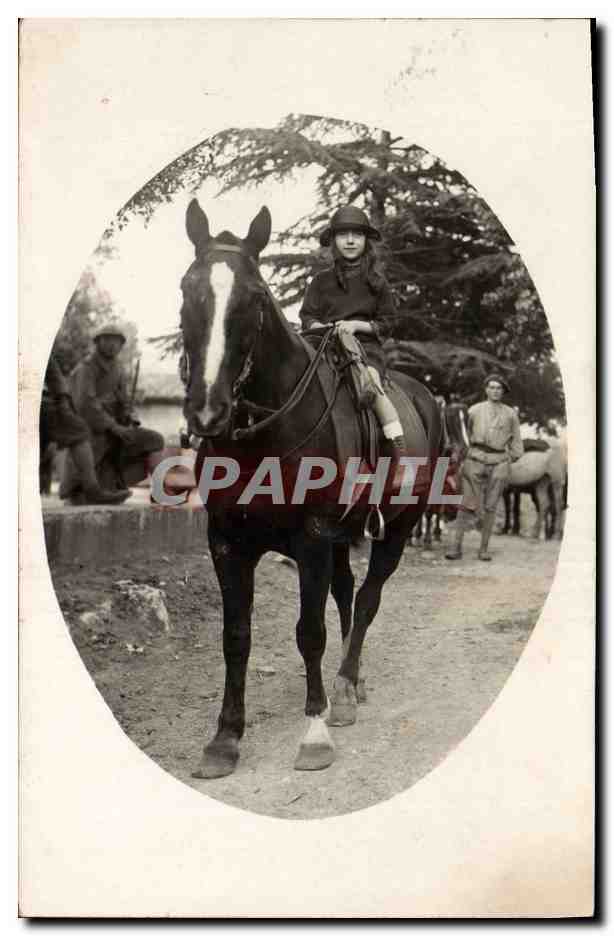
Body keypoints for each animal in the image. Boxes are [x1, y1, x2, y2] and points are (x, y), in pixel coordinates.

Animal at [178, 199, 442, 779]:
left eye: (256, 297)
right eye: (187, 288)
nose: (207, 412)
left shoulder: (313, 538)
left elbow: (309, 632)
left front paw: (315, 730)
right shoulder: (227, 543)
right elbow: (236, 637)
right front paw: (224, 739)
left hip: (397, 531)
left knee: (366, 599)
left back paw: (342, 688)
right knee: (346, 592)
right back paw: (352, 681)